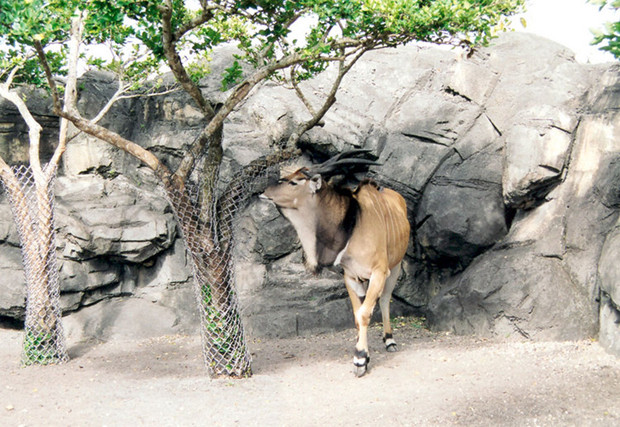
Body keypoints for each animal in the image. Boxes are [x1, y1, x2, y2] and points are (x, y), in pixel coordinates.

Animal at [260, 151, 410, 378]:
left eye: (294, 181)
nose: (264, 191)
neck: (354, 223)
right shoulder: (351, 276)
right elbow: (358, 315)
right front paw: (364, 355)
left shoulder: (379, 272)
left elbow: (365, 313)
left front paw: (359, 360)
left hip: (395, 266)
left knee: (384, 300)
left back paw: (389, 340)